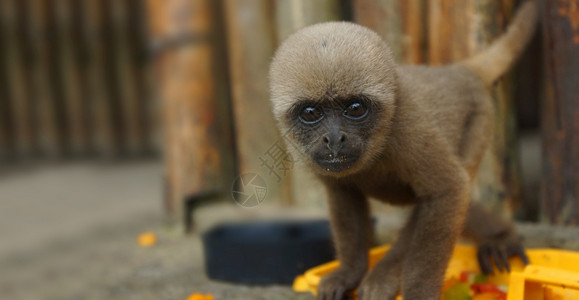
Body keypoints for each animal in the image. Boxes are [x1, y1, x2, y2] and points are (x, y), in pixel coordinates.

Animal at [270, 1, 536, 298]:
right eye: (310, 113)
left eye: (355, 108)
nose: (335, 138)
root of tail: (457, 71)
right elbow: (343, 193)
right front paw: (349, 272)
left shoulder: (407, 129)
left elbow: (449, 190)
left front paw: (418, 291)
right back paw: (499, 237)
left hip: (480, 122)